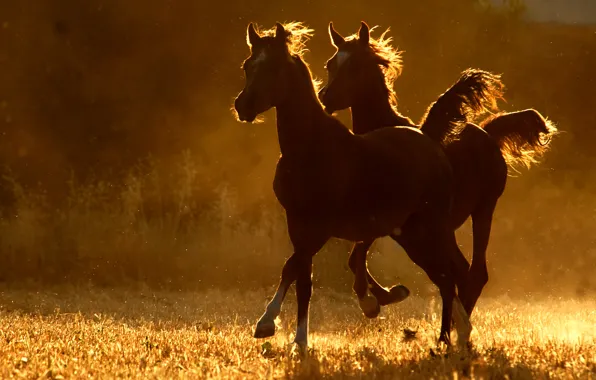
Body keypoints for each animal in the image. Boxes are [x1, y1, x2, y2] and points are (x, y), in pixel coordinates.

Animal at [234, 20, 512, 348]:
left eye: (275, 67)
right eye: (248, 65)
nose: (243, 106)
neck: (312, 148)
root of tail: (431, 143)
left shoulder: (322, 226)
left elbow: (295, 267)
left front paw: (268, 324)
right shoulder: (298, 221)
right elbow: (303, 277)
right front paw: (298, 339)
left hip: (444, 224)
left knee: (456, 273)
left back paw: (457, 333)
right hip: (413, 233)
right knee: (446, 275)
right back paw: (451, 334)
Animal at [318, 20, 556, 318]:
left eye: (356, 66)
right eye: (331, 63)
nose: (325, 97)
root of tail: (487, 132)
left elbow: (356, 256)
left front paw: (373, 301)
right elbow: (355, 258)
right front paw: (388, 295)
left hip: (481, 211)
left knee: (474, 273)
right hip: (444, 229)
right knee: (462, 272)